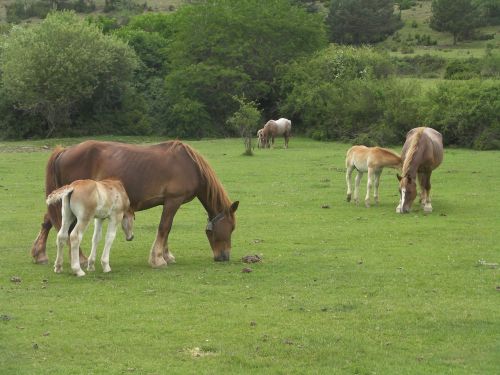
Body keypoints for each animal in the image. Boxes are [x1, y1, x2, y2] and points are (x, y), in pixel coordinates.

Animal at [31, 140, 238, 268]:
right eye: (231, 228)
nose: (224, 257)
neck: (189, 165)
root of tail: (64, 151)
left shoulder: (169, 203)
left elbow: (166, 229)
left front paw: (166, 255)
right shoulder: (173, 200)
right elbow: (165, 227)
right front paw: (158, 259)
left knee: (49, 221)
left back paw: (40, 254)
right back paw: (80, 259)